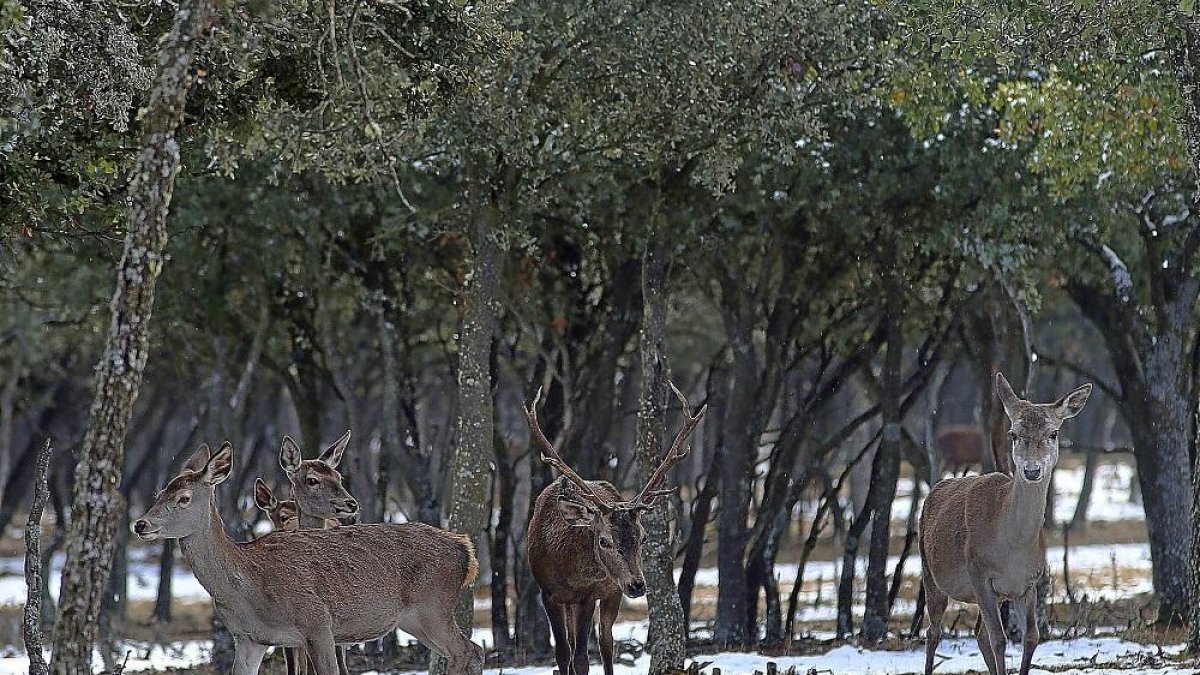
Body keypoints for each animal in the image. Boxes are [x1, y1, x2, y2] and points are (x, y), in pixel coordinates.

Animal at [132, 441, 482, 672]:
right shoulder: (248, 638)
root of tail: (466, 550)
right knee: (473, 650)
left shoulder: (317, 624)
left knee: (467, 651)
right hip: (415, 618)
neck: (249, 586)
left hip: (432, 604)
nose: (140, 524)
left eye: (183, 497)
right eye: (159, 493)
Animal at [523, 379, 700, 672]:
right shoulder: (547, 593)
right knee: (576, 643)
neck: (565, 568)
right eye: (604, 540)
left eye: (642, 537)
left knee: (607, 642)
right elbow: (563, 653)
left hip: (612, 592)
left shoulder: (588, 595)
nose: (637, 585)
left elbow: (582, 658)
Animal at [916, 369, 1089, 672]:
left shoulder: (1028, 582)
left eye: (1053, 433)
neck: (1012, 550)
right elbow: (999, 639)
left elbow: (1031, 637)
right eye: (1013, 434)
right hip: (929, 571)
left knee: (978, 633)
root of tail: (934, 490)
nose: (1032, 470)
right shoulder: (979, 573)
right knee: (933, 632)